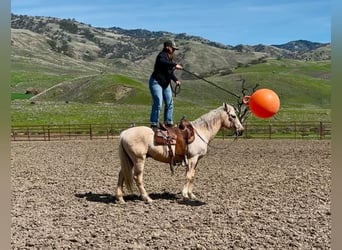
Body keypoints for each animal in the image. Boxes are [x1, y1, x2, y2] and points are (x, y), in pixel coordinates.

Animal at [115, 102, 243, 204]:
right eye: (233, 116)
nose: (241, 130)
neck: (201, 132)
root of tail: (124, 133)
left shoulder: (196, 160)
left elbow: (192, 176)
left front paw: (191, 195)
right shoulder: (192, 158)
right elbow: (188, 176)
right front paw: (185, 194)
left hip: (130, 160)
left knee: (122, 174)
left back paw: (120, 198)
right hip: (138, 160)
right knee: (137, 177)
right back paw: (147, 198)